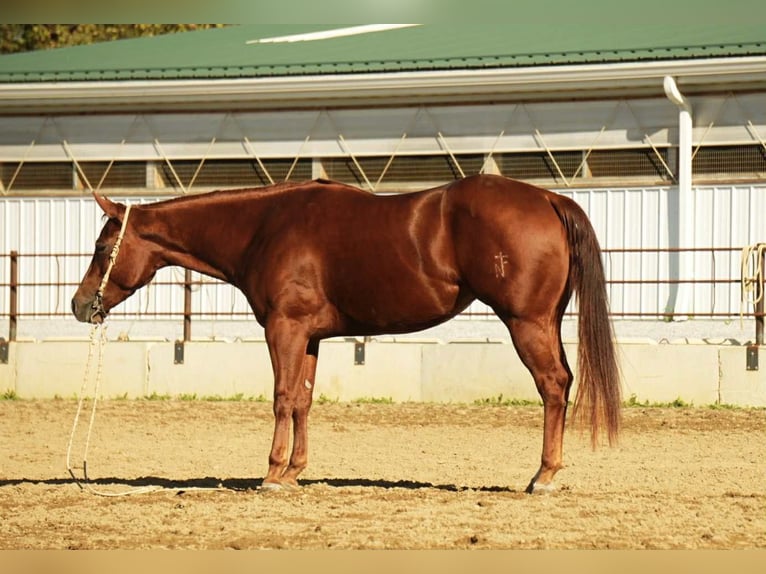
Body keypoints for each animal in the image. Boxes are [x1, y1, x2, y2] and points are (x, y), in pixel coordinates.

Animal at [71, 174, 621, 494]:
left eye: (101, 246)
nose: (79, 305)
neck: (264, 227)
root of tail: (548, 198)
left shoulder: (285, 329)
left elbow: (281, 398)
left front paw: (271, 474)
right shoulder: (311, 337)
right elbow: (302, 401)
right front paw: (294, 472)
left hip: (526, 323)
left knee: (553, 386)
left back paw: (543, 476)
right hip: (546, 321)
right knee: (562, 383)